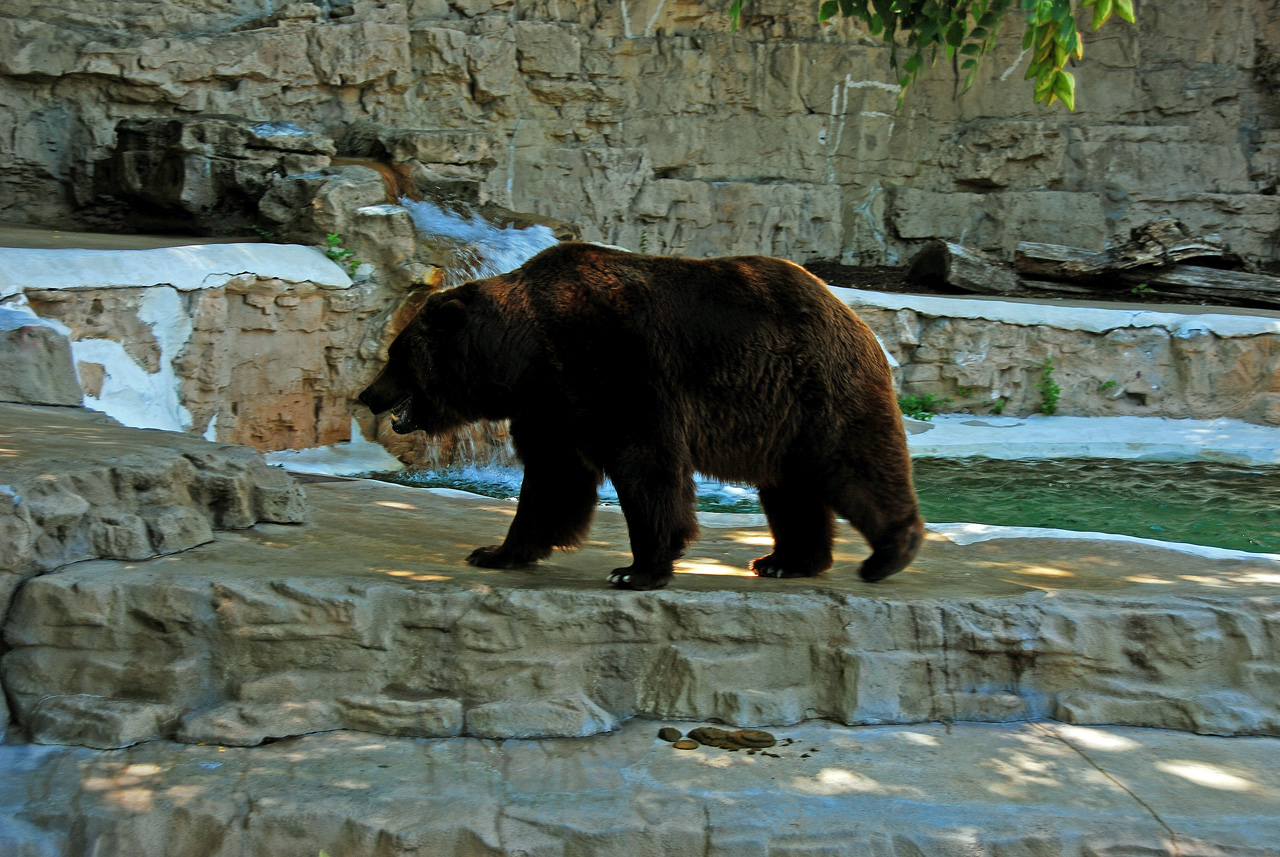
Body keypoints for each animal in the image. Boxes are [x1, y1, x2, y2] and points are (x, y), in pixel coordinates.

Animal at [358, 241, 921, 590]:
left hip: (816, 388)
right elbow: (553, 480)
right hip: (780, 417)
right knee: (791, 486)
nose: (367, 394)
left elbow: (645, 463)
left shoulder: (617, 364)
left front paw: (636, 569)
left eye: (396, 355)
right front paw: (495, 551)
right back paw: (786, 560)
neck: (530, 353)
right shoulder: (552, 405)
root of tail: (852, 313)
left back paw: (888, 554)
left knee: (858, 465)